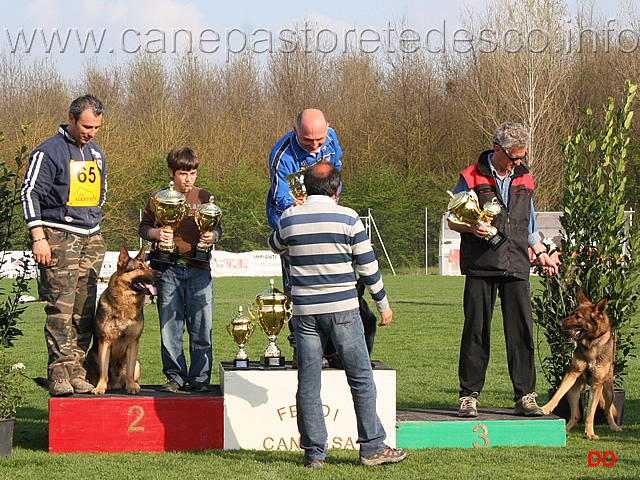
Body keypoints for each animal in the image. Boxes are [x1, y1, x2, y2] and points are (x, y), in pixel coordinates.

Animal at [85, 246, 162, 396]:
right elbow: (103, 371)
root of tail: (116, 384)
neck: (125, 302)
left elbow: (130, 371)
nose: (160, 273)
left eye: (148, 266)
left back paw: (134, 384)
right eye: (139, 267)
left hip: (138, 362)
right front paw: (100, 387)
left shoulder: (133, 342)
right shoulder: (105, 342)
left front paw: (131, 386)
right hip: (91, 355)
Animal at [540, 288, 620, 438]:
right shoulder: (571, 374)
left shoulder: (596, 384)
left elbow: (591, 413)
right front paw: (545, 408)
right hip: (573, 391)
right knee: (576, 415)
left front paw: (590, 433)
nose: (558, 324)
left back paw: (615, 426)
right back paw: (566, 428)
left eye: (578, 317)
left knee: (608, 411)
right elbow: (556, 396)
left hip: (608, 391)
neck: (590, 344)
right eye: (571, 313)